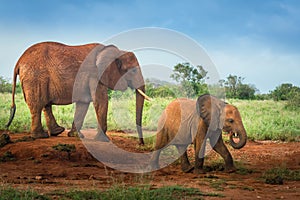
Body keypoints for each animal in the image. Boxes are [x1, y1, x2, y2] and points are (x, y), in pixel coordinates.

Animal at [5, 42, 149, 145]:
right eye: (133, 71)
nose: (141, 144)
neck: (116, 51)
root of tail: (19, 61)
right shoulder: (95, 75)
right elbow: (101, 101)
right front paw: (103, 140)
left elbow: (83, 104)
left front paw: (75, 136)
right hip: (35, 77)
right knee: (37, 105)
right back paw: (41, 136)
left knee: (45, 104)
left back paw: (57, 132)